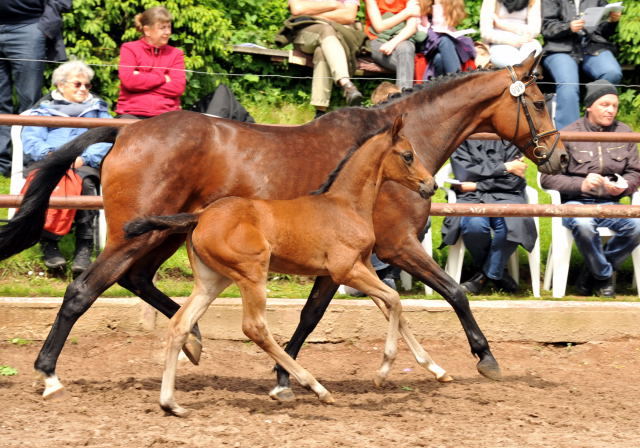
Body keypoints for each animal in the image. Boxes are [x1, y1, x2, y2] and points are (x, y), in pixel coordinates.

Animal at [124, 116, 444, 416]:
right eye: (408, 155)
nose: (432, 185)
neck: (346, 206)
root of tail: (199, 215)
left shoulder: (362, 266)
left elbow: (392, 308)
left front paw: (434, 368)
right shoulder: (345, 270)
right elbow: (394, 300)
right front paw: (383, 371)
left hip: (211, 281)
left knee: (181, 323)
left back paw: (171, 404)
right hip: (252, 273)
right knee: (254, 328)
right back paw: (314, 387)